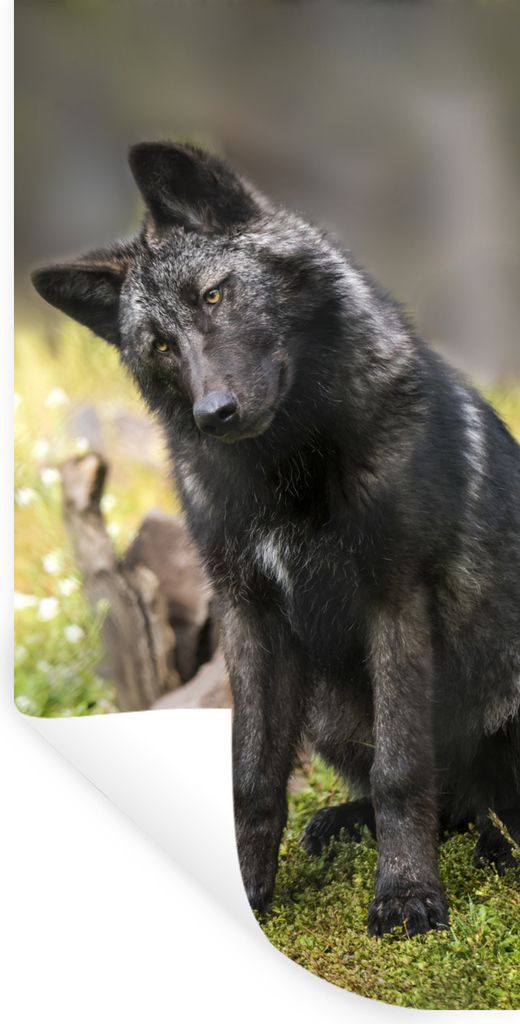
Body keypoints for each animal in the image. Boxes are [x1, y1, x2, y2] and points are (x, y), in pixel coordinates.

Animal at [32, 142, 520, 936]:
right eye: (159, 345)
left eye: (214, 296)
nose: (214, 412)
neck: (284, 478)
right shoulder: (249, 613)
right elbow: (252, 776)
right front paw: (246, 891)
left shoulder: (395, 598)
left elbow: (401, 769)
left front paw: (407, 895)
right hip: (327, 711)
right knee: (452, 806)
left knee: (468, 802)